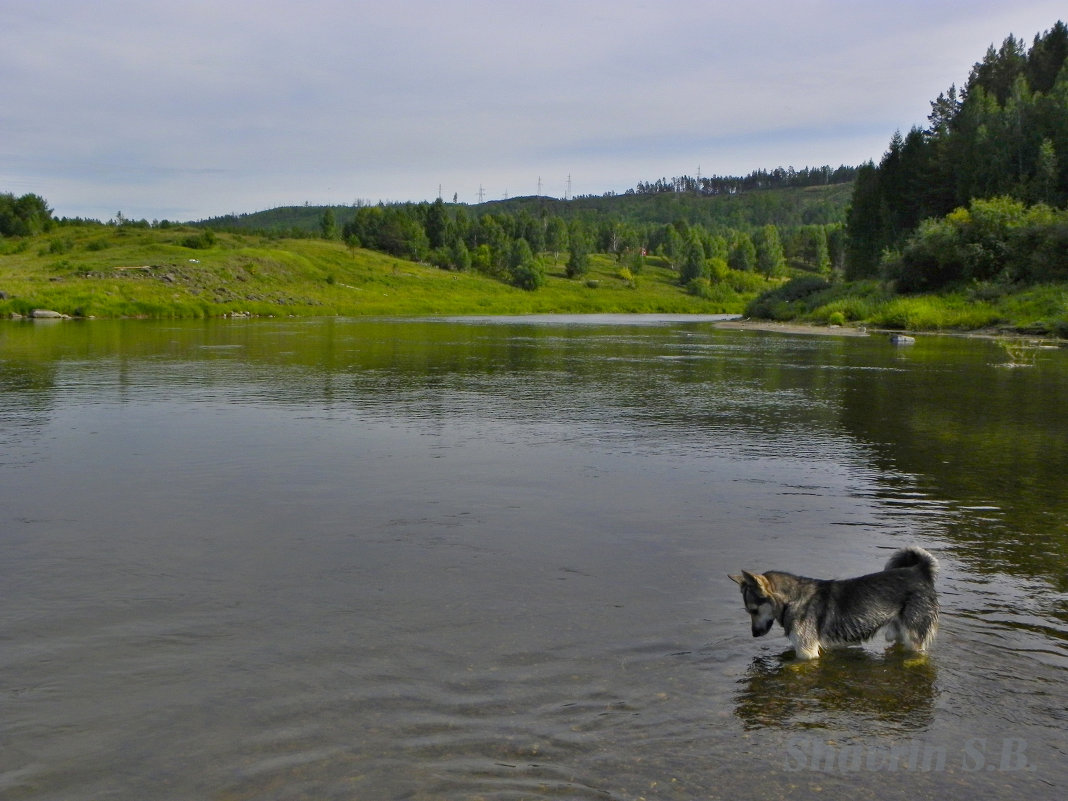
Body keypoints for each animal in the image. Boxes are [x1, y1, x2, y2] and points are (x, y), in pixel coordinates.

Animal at [730, 551, 939, 662]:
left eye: (753, 610)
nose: (754, 634)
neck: (792, 600)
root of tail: (920, 571)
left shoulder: (806, 653)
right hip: (896, 633)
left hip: (913, 636)